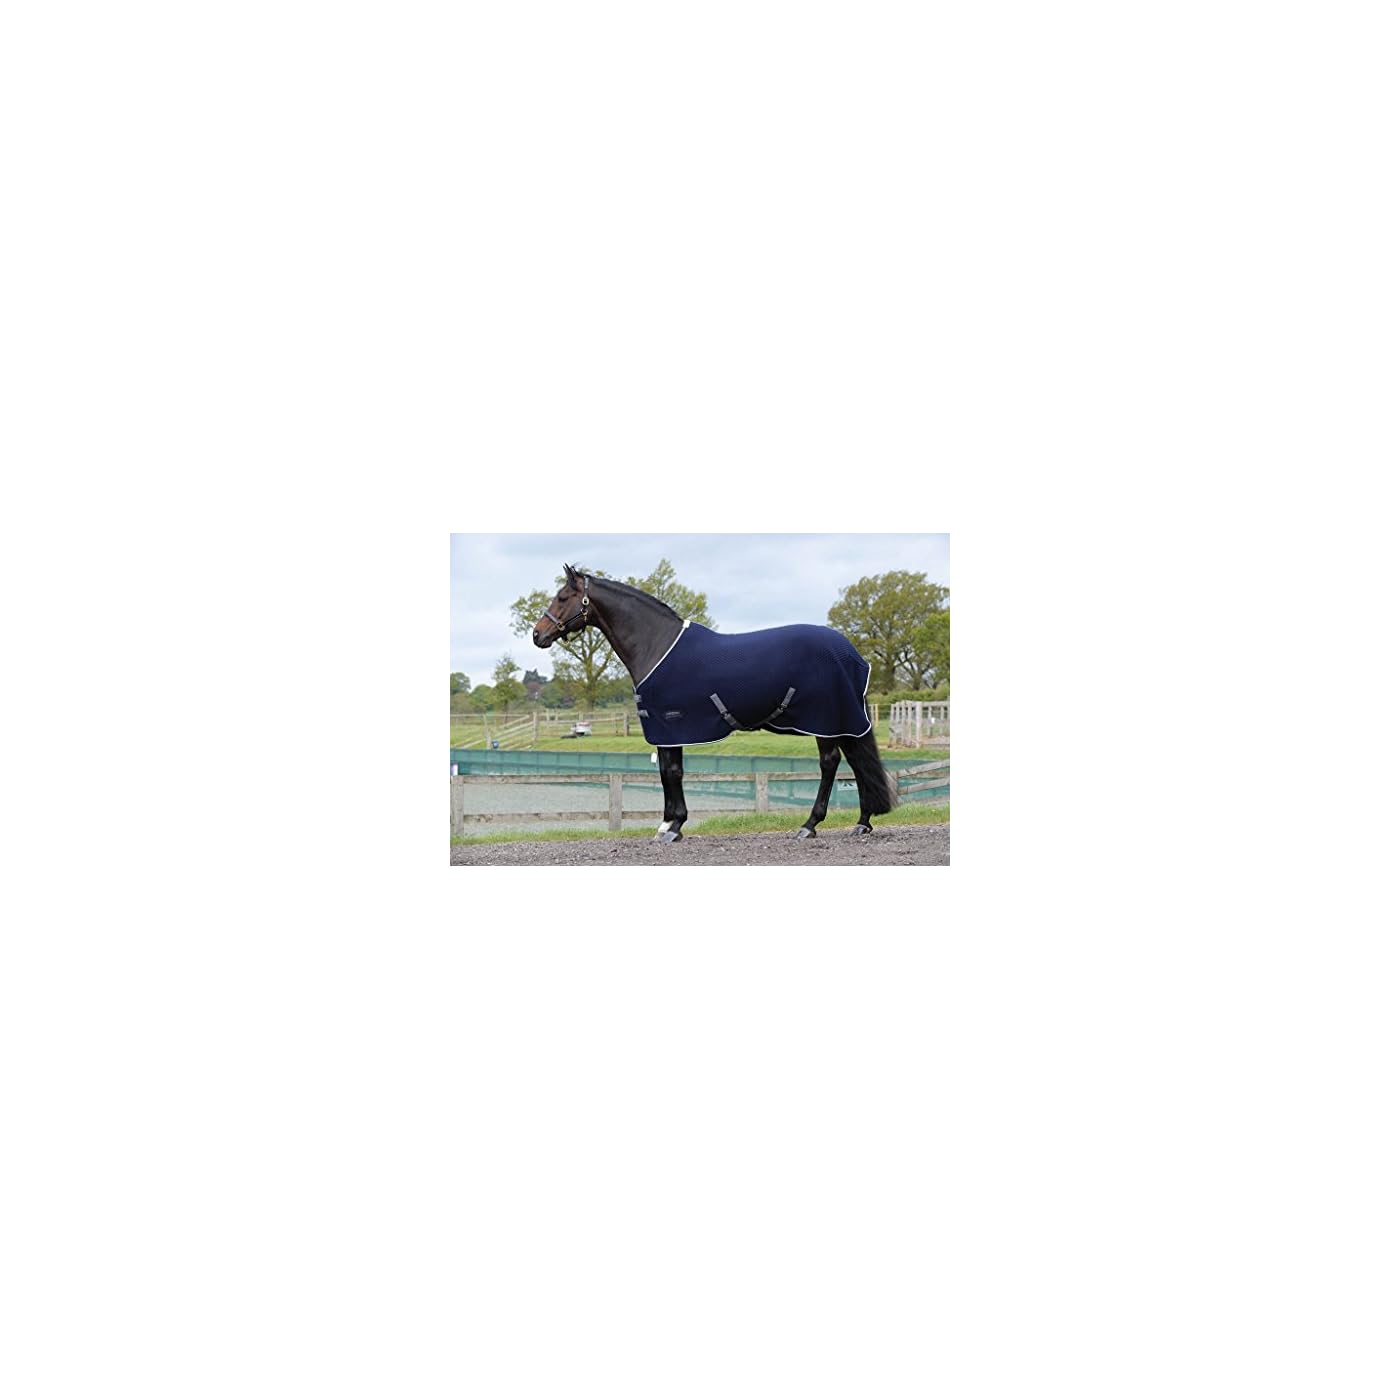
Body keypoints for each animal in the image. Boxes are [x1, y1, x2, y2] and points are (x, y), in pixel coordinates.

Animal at [532, 564, 897, 843]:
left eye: (562, 597)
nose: (538, 634)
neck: (657, 644)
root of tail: (850, 652)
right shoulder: (667, 729)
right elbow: (667, 771)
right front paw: (667, 824)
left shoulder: (669, 724)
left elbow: (671, 772)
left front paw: (673, 826)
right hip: (841, 719)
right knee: (856, 761)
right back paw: (862, 822)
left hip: (824, 720)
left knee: (830, 763)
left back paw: (809, 825)